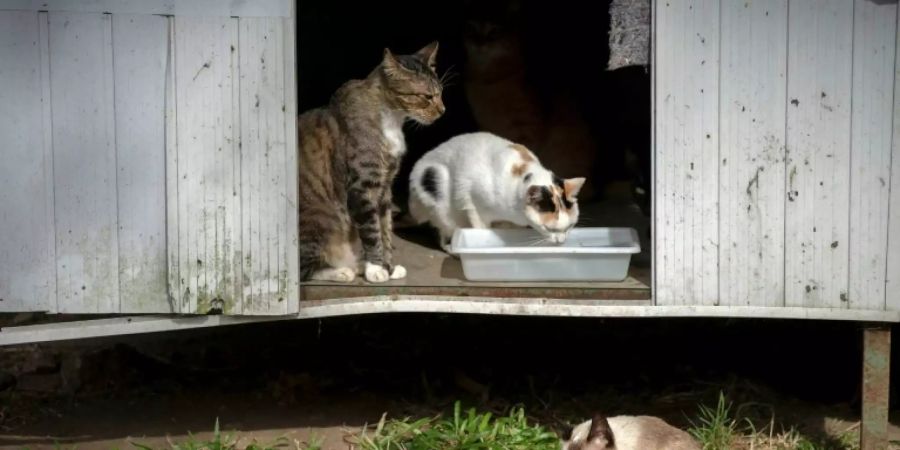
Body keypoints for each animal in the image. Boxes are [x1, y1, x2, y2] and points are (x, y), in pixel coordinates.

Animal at [300, 41, 444, 282]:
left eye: (440, 93)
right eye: (426, 96)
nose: (443, 111)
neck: (392, 118)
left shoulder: (385, 188)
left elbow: (385, 229)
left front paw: (389, 267)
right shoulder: (363, 187)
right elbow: (372, 231)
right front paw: (376, 268)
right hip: (319, 220)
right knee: (304, 269)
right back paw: (342, 271)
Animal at [406, 132, 584, 253]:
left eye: (570, 226)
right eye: (548, 228)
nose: (561, 242)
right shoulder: (474, 205)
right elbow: (481, 229)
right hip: (438, 196)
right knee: (442, 234)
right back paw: (452, 249)